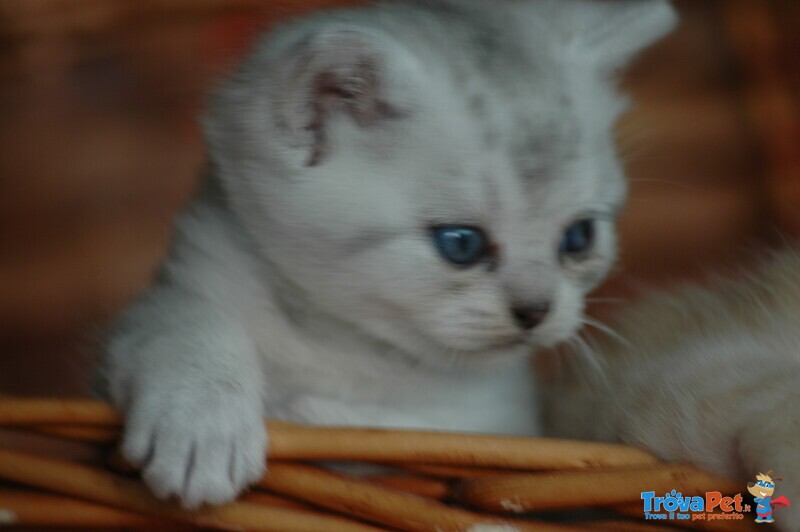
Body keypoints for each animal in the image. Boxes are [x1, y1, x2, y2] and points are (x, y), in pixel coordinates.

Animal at [98, 0, 676, 508]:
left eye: (578, 238)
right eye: (460, 243)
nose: (536, 312)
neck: (346, 340)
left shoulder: (509, 422)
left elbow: (411, 436)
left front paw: (306, 413)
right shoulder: (180, 287)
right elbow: (185, 324)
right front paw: (201, 424)